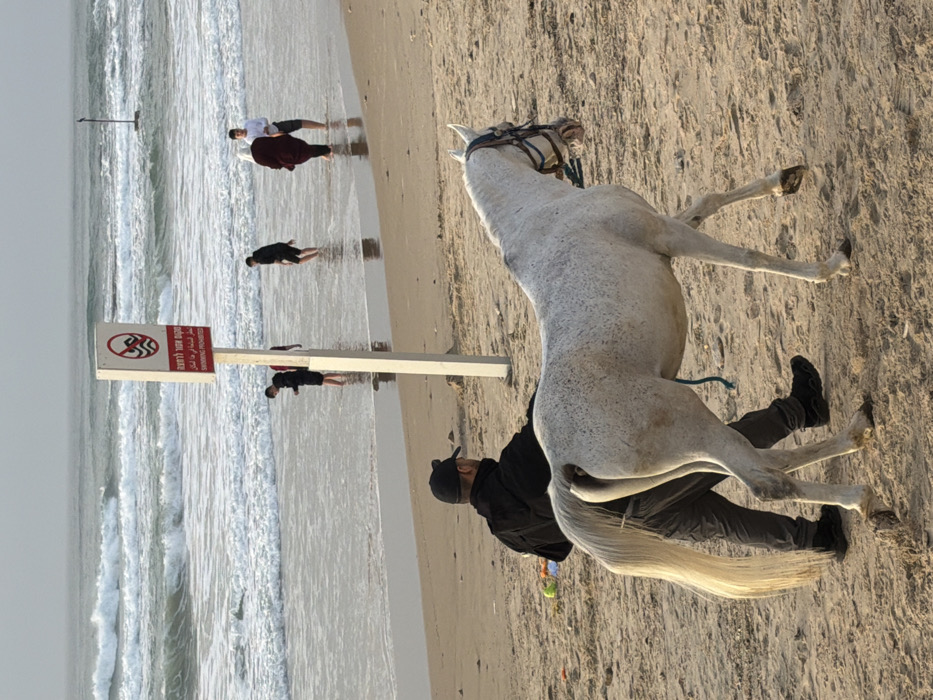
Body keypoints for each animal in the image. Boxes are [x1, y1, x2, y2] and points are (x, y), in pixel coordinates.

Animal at [448, 117, 895, 598]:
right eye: (510, 127)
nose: (569, 125)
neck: (541, 215)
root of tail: (560, 466)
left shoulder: (669, 225)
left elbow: (706, 200)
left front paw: (785, 179)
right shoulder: (669, 234)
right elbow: (749, 257)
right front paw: (829, 267)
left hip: (681, 456)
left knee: (762, 461)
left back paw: (857, 432)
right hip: (691, 424)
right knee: (766, 481)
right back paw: (862, 497)